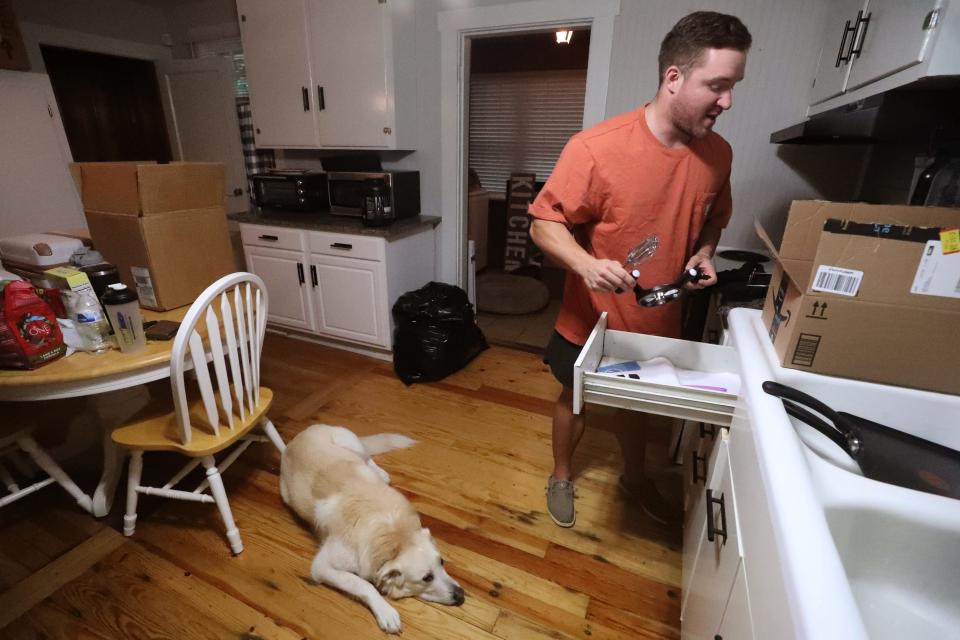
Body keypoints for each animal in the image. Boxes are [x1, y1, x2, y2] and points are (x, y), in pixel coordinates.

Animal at [278, 424, 464, 636]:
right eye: (427, 578)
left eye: (442, 562)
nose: (461, 595)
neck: (394, 537)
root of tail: (296, 439)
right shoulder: (322, 566)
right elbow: (362, 583)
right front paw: (385, 612)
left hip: (351, 444)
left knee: (367, 458)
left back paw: (380, 473)